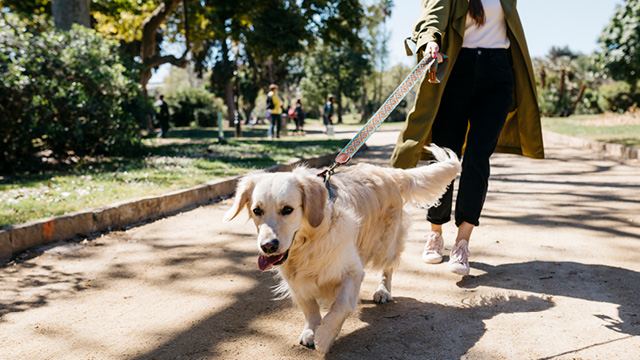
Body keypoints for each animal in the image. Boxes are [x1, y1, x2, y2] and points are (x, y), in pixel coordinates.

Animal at [225, 145, 460, 352]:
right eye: (257, 210)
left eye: (287, 209)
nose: (268, 246)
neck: (309, 242)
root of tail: (389, 172)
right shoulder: (295, 279)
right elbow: (310, 308)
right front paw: (311, 331)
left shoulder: (352, 272)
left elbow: (340, 306)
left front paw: (324, 336)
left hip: (386, 244)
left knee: (388, 268)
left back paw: (383, 291)